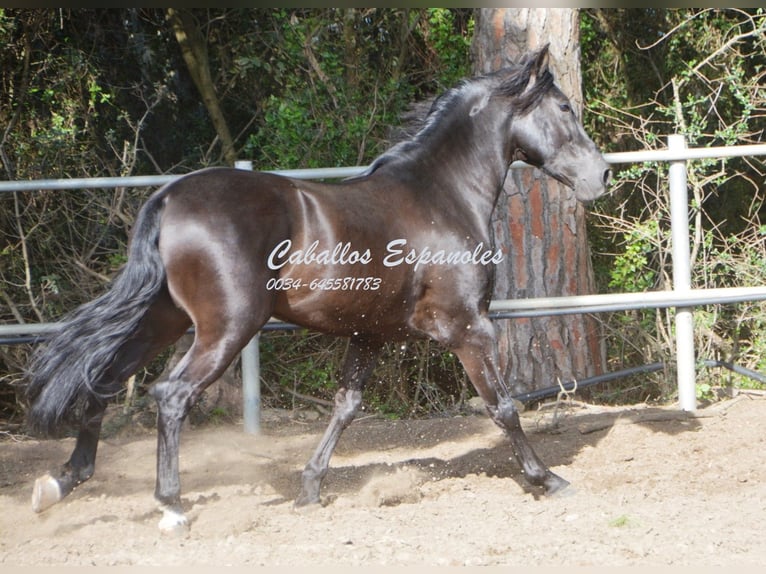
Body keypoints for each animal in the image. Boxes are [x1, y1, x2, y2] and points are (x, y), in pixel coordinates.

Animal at [25, 45, 612, 536]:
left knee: (101, 378)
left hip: (163, 319)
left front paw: (310, 488)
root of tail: (169, 198)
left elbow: (346, 406)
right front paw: (547, 480)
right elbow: (503, 406)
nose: (602, 176)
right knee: (170, 396)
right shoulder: (468, 326)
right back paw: (171, 507)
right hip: (227, 327)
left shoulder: (370, 335)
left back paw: (60, 483)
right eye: (564, 108)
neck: (441, 196)